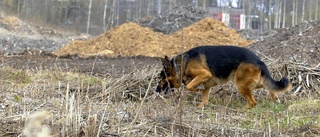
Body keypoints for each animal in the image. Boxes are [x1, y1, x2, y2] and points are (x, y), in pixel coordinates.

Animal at [156, 45, 292, 108]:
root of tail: (260, 61)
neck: (181, 64)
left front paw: (196, 90)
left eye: (161, 78)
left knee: (253, 102)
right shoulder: (207, 85)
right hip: (255, 83)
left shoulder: (204, 74)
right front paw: (200, 106)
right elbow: (204, 99)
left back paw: (243, 110)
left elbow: (189, 86)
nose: (156, 90)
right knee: (271, 89)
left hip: (240, 85)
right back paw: (274, 100)